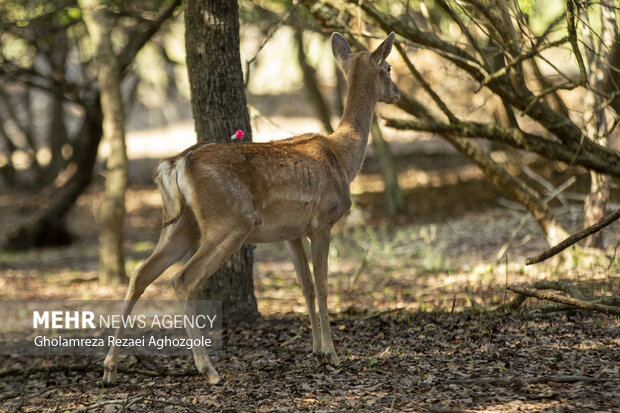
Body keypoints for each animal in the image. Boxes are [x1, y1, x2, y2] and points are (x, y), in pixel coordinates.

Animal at [102, 30, 400, 384]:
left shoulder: (290, 233)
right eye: (389, 67)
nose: (397, 93)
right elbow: (324, 286)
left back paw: (110, 367)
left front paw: (316, 351)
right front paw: (332, 354)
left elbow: (306, 287)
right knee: (182, 279)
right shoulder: (322, 222)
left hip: (180, 224)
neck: (342, 155)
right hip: (230, 222)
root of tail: (175, 164)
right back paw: (208, 369)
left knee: (140, 274)